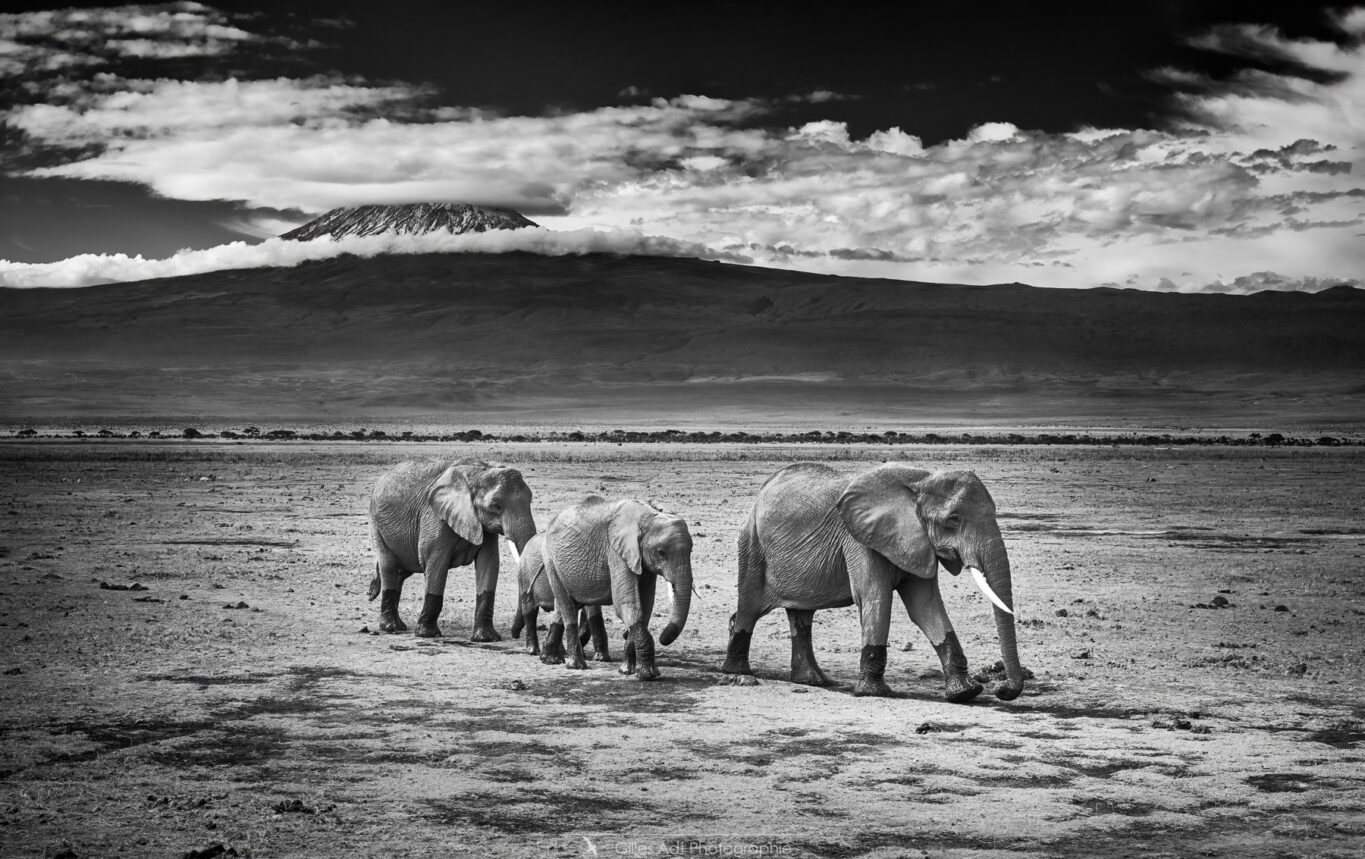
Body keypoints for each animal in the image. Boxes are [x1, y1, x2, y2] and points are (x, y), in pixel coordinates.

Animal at [368, 458, 537, 639]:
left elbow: (489, 563)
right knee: (389, 567)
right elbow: (436, 564)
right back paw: (391, 627)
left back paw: (396, 622)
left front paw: (486, 638)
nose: (515, 635)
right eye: (495, 506)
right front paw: (427, 634)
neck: (479, 472)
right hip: (376, 524)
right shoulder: (435, 517)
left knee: (400, 572)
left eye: (530, 501)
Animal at [540, 497, 693, 677]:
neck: (648, 516)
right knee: (567, 607)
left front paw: (627, 671)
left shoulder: (642, 562)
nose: (662, 638)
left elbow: (645, 605)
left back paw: (549, 659)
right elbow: (626, 604)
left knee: (562, 606)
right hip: (550, 558)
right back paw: (575, 666)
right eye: (661, 552)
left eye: (691, 551)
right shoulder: (616, 552)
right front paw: (648, 675)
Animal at [726, 464, 1026, 699]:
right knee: (749, 607)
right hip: (751, 542)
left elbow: (925, 606)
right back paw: (737, 672)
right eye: (953, 520)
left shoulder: (915, 542)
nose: (1001, 688)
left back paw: (813, 681)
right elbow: (875, 596)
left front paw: (965, 692)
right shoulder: (859, 539)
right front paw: (873, 692)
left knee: (801, 615)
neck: (921, 481)